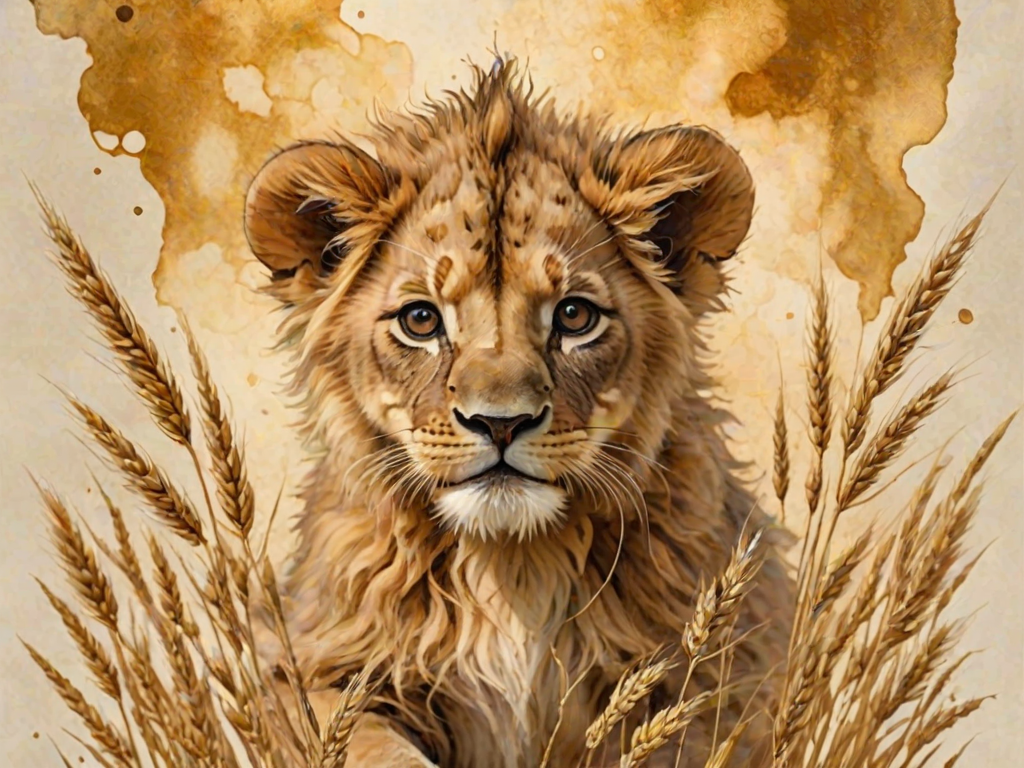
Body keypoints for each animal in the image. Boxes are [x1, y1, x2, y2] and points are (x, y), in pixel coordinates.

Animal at [244, 58, 794, 768]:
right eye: (421, 320)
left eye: (575, 316)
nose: (499, 423)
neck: (511, 564)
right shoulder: (303, 670)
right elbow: (370, 744)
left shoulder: (724, 684)